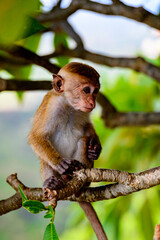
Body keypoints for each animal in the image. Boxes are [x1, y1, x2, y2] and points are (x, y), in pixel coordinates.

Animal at [28, 62, 107, 240]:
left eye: (95, 91)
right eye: (86, 90)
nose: (92, 102)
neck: (69, 105)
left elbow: (87, 128)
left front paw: (96, 146)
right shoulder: (51, 106)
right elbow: (36, 137)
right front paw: (60, 163)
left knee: (83, 140)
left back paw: (79, 181)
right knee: (44, 159)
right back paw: (53, 182)